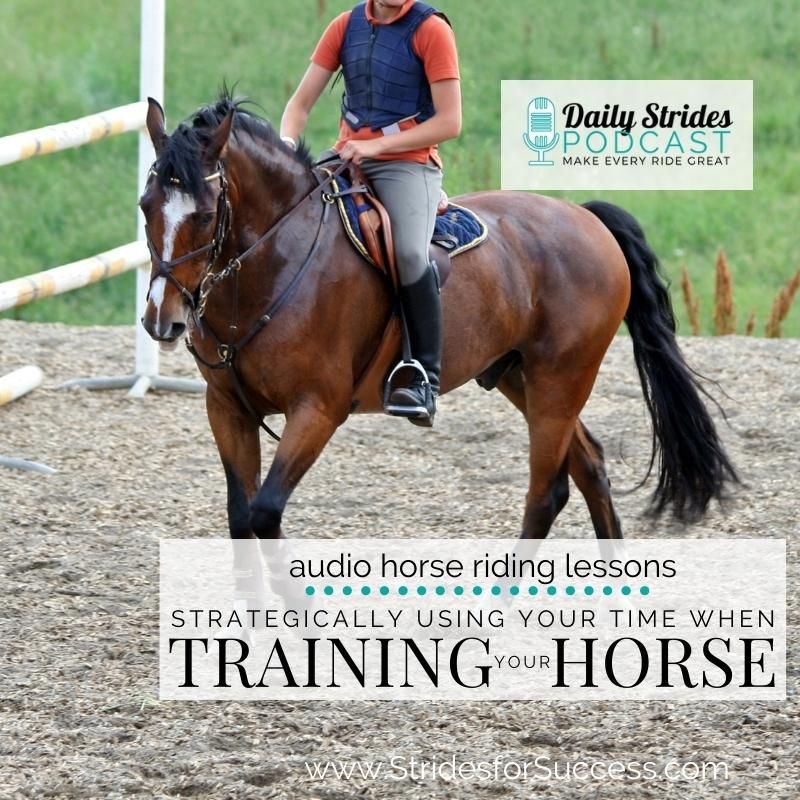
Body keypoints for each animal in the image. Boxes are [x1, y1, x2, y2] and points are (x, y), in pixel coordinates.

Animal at [139, 92, 737, 550]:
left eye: (206, 215)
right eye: (146, 206)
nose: (162, 321)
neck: (271, 262)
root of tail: (587, 218)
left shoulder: (317, 411)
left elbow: (265, 514)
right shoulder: (228, 409)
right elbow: (243, 521)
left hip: (561, 379)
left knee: (547, 492)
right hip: (520, 375)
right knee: (589, 468)